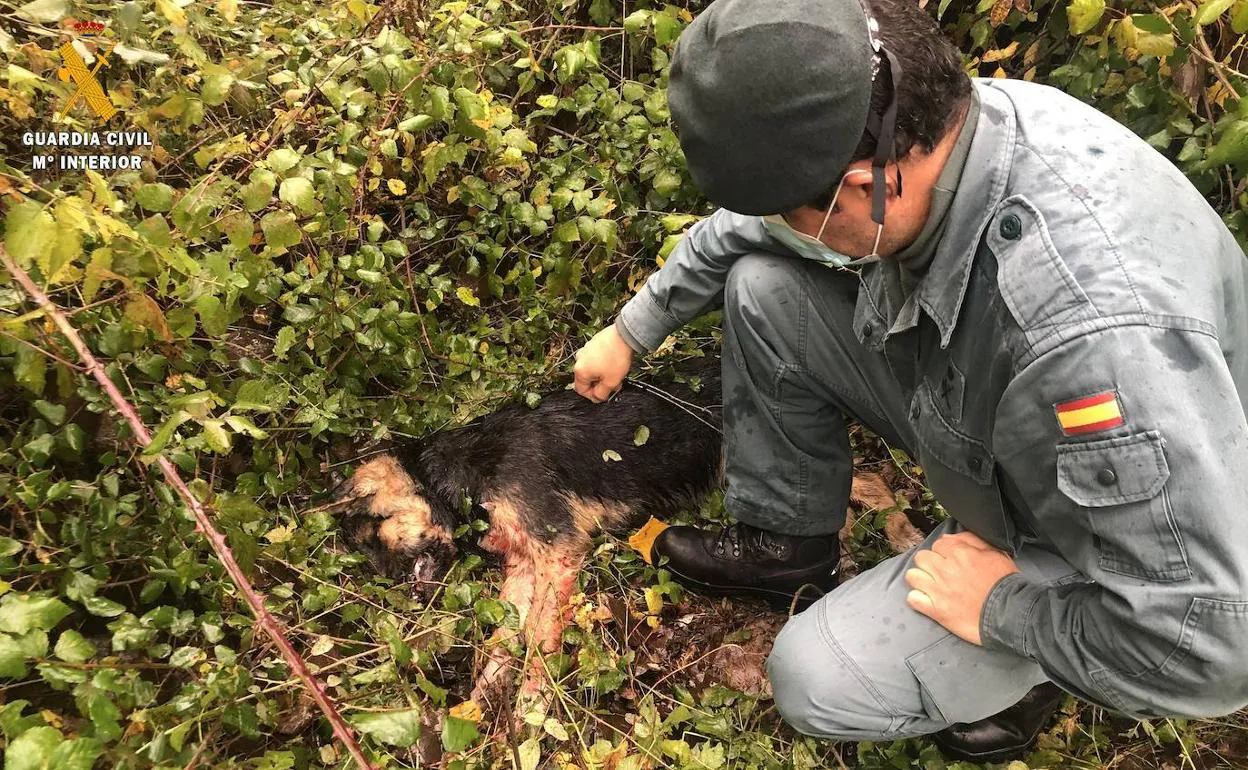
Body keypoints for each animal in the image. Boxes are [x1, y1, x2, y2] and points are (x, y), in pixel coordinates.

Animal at [329, 354, 723, 713]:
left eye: (374, 533)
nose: (390, 581)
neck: (454, 477)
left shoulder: (557, 550)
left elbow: (539, 635)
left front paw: (531, 706)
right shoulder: (523, 566)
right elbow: (504, 635)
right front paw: (482, 703)